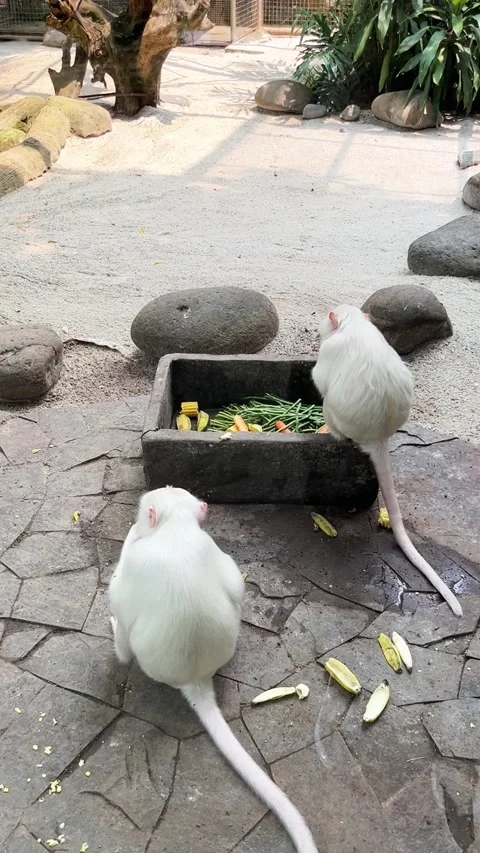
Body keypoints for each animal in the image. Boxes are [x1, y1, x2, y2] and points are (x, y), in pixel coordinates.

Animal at [109, 486, 318, 853]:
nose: (139, 524)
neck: (176, 529)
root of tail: (195, 679)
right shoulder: (213, 548)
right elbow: (236, 584)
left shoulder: (137, 563)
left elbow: (118, 590)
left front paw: (133, 535)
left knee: (123, 626)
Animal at [311, 304, 462, 617]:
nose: (319, 328)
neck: (354, 324)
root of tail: (378, 440)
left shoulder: (331, 349)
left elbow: (318, 375)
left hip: (333, 413)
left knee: (328, 404)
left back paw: (327, 431)